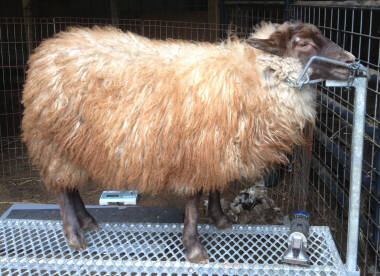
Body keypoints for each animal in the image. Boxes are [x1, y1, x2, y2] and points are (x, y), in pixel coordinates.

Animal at [22, 21, 356, 264]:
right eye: (304, 44)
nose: (352, 61)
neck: (255, 77)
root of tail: (46, 51)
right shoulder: (198, 152)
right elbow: (194, 201)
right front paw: (194, 247)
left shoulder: (218, 148)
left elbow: (216, 187)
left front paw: (220, 219)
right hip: (52, 143)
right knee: (63, 191)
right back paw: (74, 235)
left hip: (71, 145)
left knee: (71, 188)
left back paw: (88, 220)